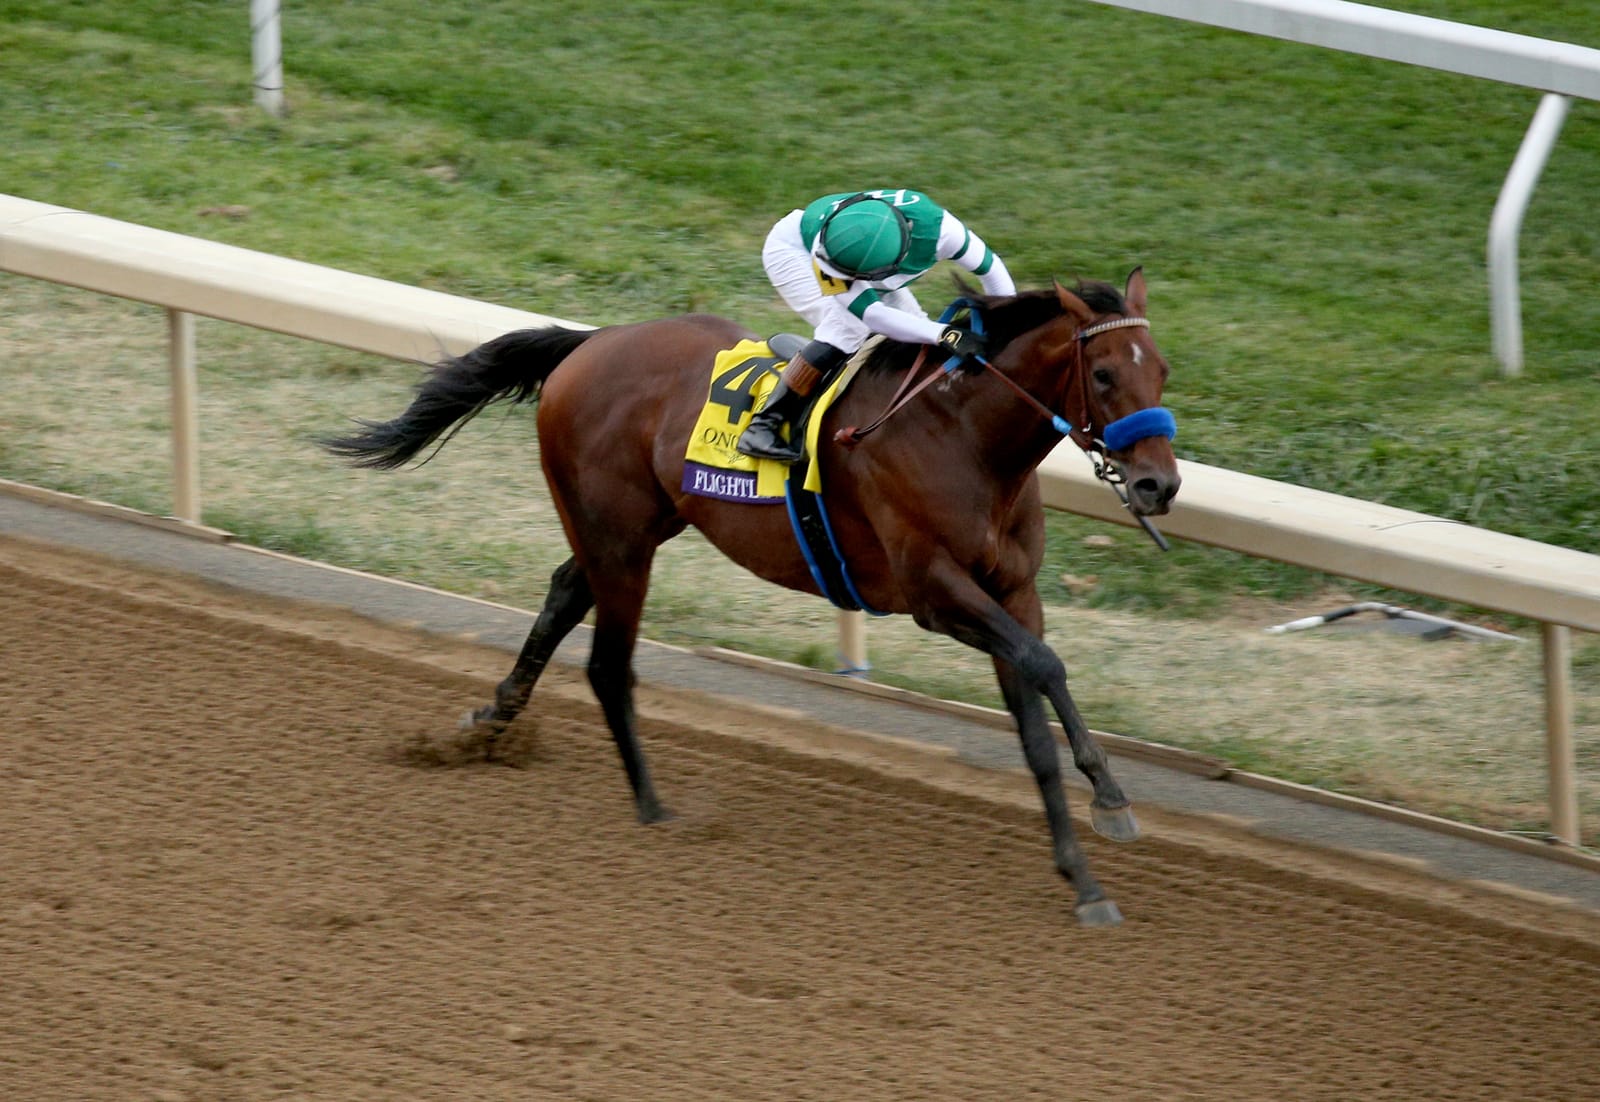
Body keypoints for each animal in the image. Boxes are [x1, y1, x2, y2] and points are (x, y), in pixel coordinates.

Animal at [321, 269, 1181, 926]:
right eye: (1104, 374)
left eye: (1163, 371)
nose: (1159, 486)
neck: (964, 436)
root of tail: (593, 341)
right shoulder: (934, 594)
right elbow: (1045, 664)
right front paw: (1111, 798)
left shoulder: (1012, 592)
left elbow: (1037, 712)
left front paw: (1087, 872)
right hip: (621, 539)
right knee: (608, 662)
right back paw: (653, 809)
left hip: (637, 525)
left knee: (565, 595)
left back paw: (493, 722)